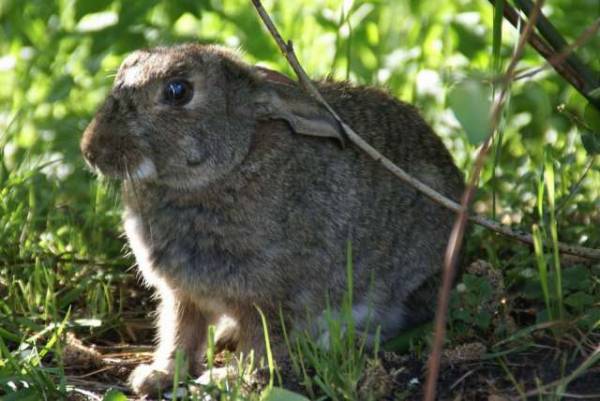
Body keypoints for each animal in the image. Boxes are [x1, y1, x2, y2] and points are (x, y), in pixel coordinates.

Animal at [79, 43, 464, 394]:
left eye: (178, 91)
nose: (91, 149)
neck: (232, 164)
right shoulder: (183, 296)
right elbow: (179, 335)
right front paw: (156, 376)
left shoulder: (273, 299)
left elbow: (261, 345)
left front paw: (223, 379)